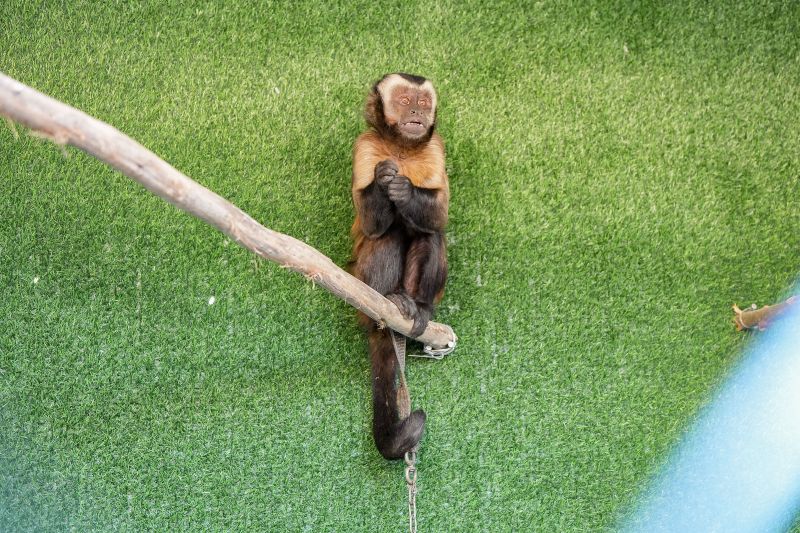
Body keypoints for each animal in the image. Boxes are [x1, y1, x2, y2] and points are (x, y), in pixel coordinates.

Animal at [349, 73, 449, 459]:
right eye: (405, 100)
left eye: (423, 102)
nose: (416, 113)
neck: (402, 149)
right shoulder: (364, 146)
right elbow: (372, 225)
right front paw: (383, 178)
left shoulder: (436, 148)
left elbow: (440, 214)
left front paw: (403, 190)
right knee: (386, 236)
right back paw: (387, 299)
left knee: (429, 234)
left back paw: (417, 305)